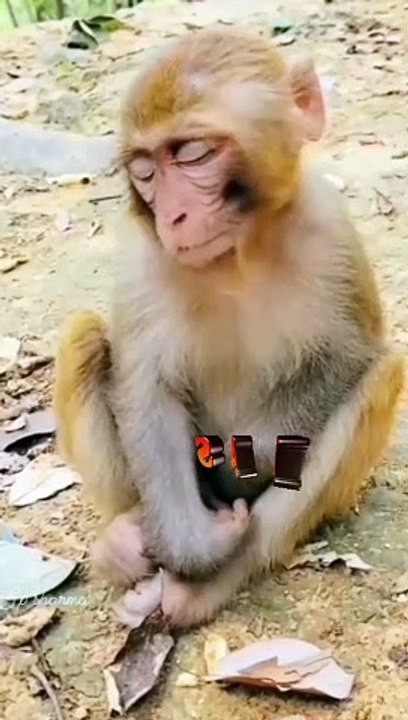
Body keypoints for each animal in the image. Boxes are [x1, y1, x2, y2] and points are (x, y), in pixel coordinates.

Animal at [54, 27, 405, 627]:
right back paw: (127, 544)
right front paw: (199, 544)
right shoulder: (145, 264)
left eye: (192, 153)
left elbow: (350, 360)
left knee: (382, 374)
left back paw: (213, 581)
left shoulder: (334, 234)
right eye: (144, 169)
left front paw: (243, 460)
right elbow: (146, 391)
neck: (240, 256)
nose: (172, 217)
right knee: (84, 336)